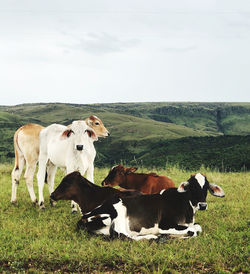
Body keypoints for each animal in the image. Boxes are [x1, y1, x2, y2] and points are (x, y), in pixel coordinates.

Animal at [79, 173, 225, 240]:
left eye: (206, 187)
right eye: (192, 187)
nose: (203, 205)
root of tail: (83, 217)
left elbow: (197, 227)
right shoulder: (164, 224)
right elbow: (193, 231)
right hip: (117, 215)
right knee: (122, 236)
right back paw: (152, 237)